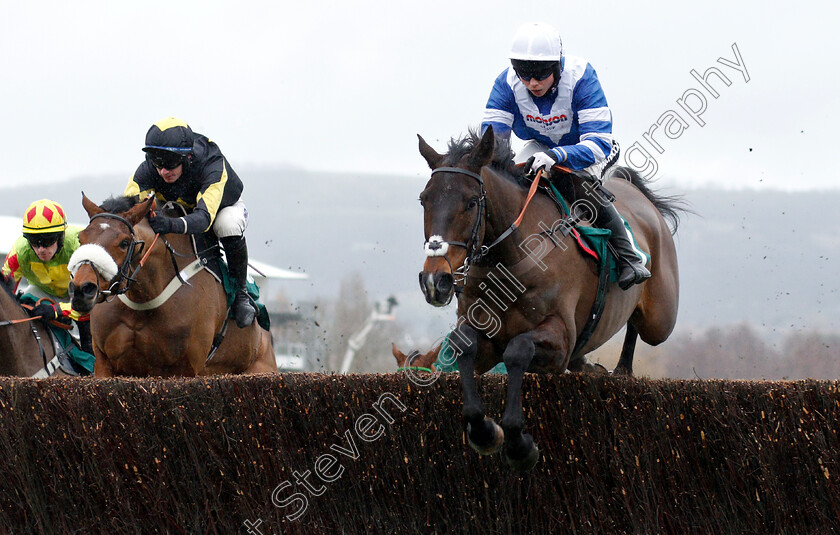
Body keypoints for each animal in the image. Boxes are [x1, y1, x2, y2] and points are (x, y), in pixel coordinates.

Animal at [67, 194, 276, 376]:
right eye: (80, 238)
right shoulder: (103, 363)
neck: (143, 300)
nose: (82, 290)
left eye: (124, 243)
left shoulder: (185, 368)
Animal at [416, 127, 680, 472]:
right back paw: (596, 367)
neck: (510, 259)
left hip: (660, 320)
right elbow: (465, 347)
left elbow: (518, 350)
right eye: (424, 200)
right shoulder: (483, 337)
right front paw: (485, 432)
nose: (436, 281)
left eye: (472, 202)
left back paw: (623, 361)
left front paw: (519, 444)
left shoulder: (560, 339)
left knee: (640, 324)